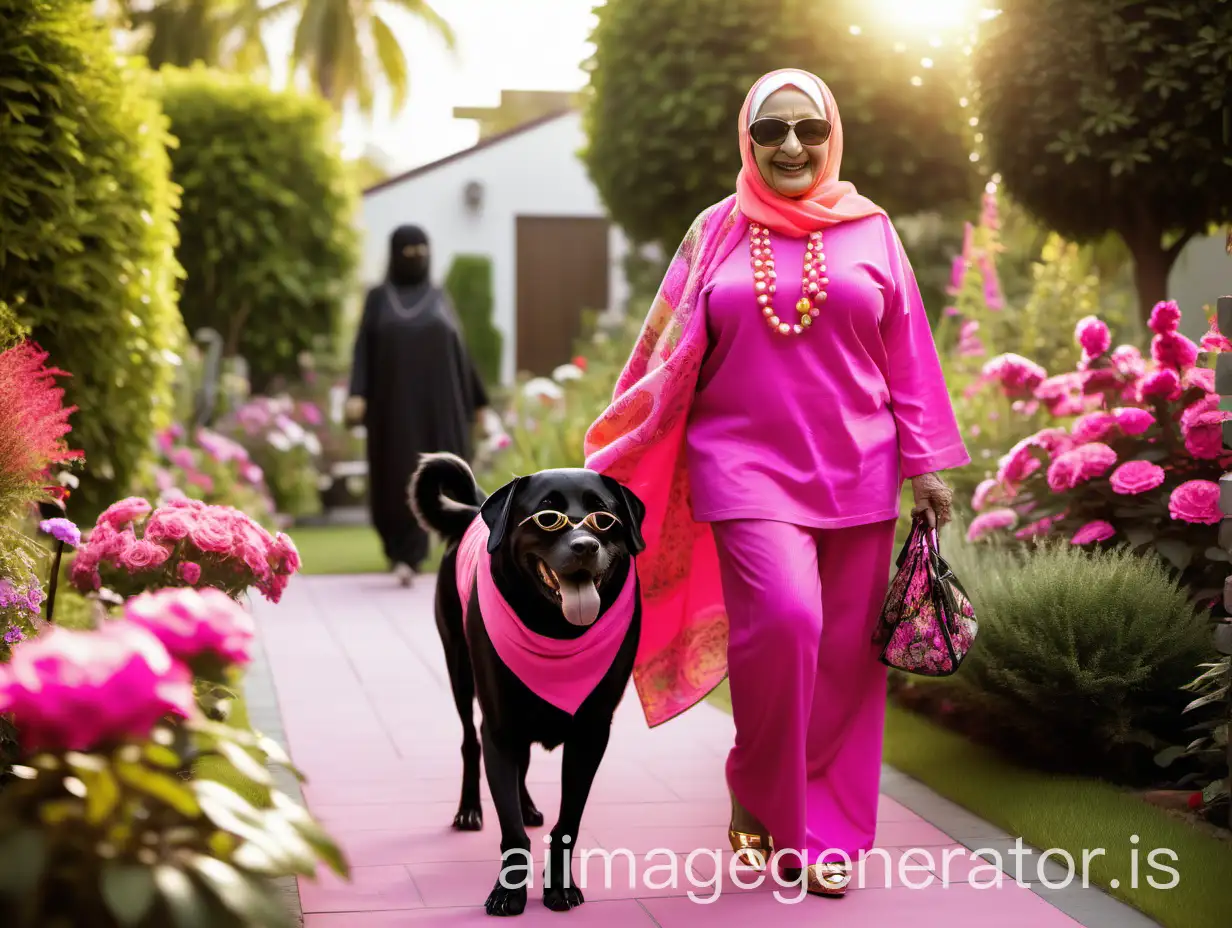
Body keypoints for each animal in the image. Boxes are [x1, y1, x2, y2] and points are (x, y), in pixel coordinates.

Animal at [411, 453, 650, 916]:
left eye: (604, 518)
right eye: (547, 516)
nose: (584, 546)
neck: (556, 630)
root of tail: (478, 508)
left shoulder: (591, 733)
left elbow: (568, 820)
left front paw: (560, 887)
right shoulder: (500, 726)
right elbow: (510, 829)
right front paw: (508, 891)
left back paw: (527, 806)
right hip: (459, 669)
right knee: (470, 742)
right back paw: (469, 811)